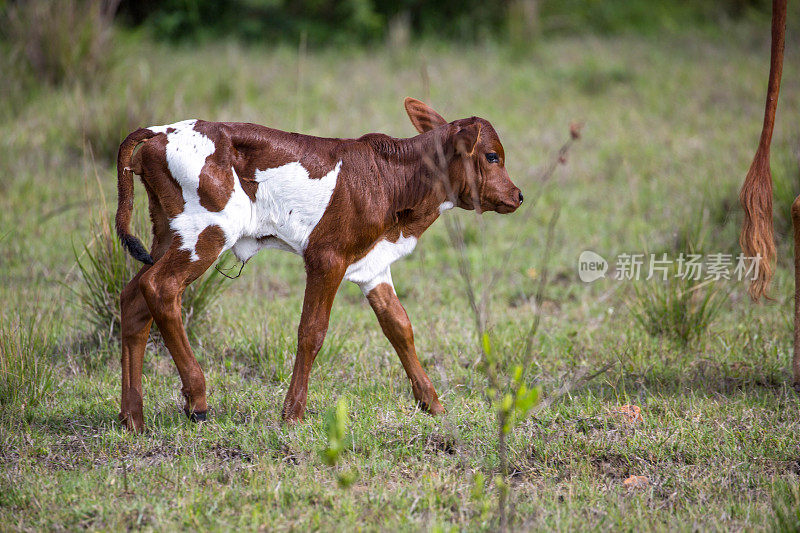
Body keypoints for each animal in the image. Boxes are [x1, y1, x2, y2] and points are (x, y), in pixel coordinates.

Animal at [114, 97, 524, 430]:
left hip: (166, 233)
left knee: (134, 298)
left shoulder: (373, 265)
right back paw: (196, 399)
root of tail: (159, 131)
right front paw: (292, 414)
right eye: (492, 156)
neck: (392, 179)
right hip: (206, 231)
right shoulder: (327, 257)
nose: (518, 195)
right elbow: (311, 331)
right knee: (160, 288)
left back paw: (133, 418)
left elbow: (399, 327)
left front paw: (433, 404)